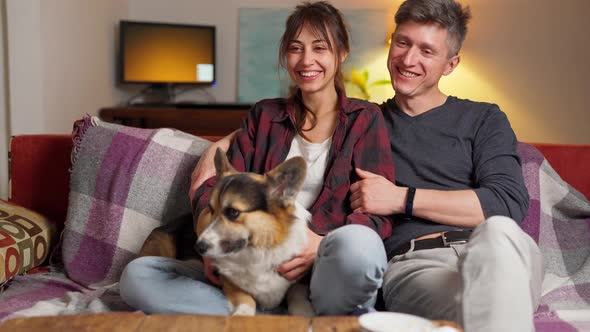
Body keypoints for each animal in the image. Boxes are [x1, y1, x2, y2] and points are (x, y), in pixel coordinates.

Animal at [194, 148, 314, 316]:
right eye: (211, 210)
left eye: (233, 212)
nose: (198, 247)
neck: (258, 250)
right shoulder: (229, 281)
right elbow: (245, 298)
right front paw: (242, 315)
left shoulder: (299, 279)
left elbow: (298, 298)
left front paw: (305, 315)